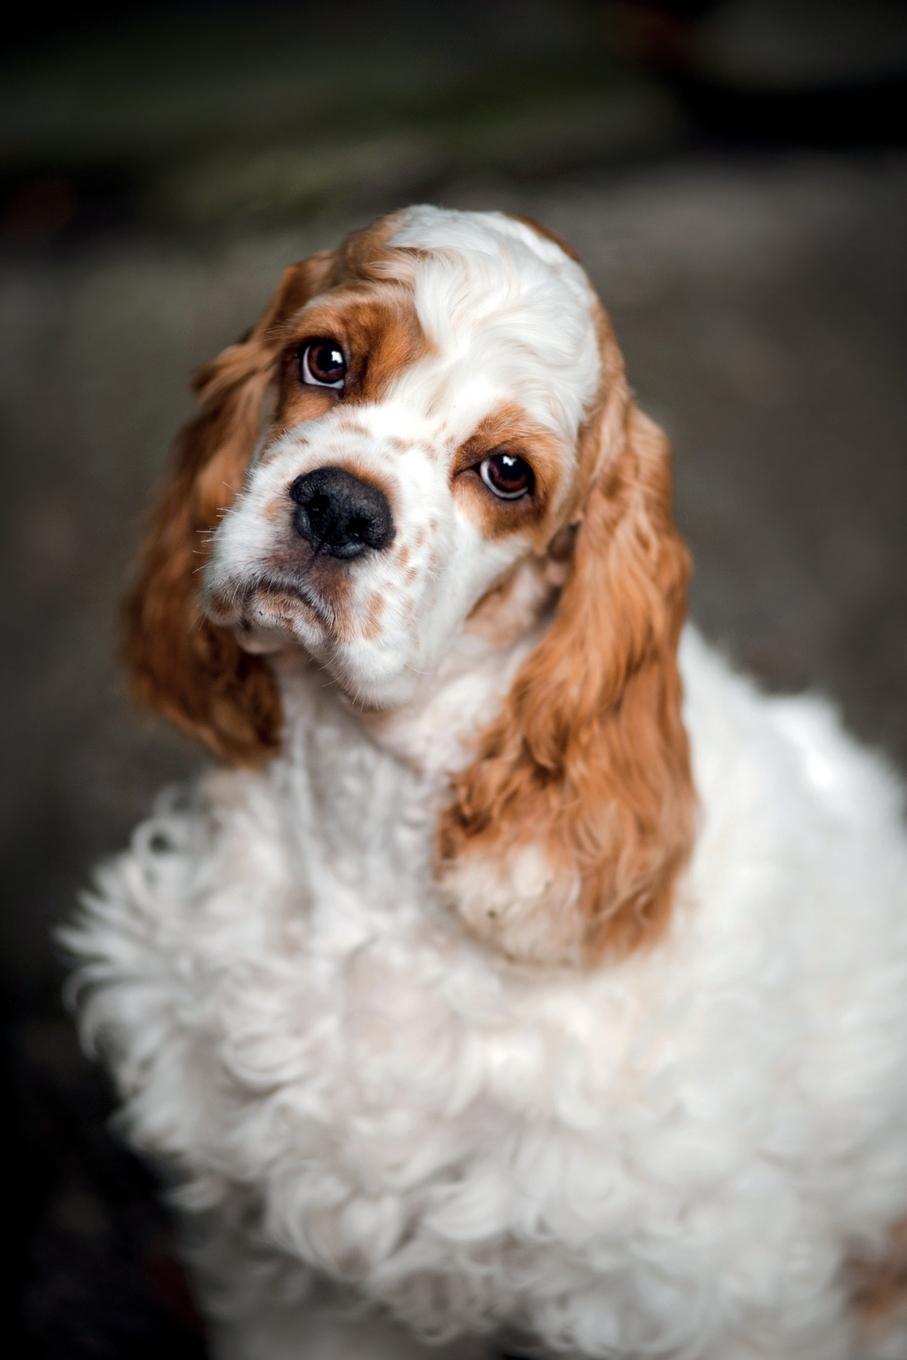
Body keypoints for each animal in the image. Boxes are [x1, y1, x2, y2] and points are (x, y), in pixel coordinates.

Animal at [67, 204, 907, 1360]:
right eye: (324, 360)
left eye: (507, 471)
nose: (338, 506)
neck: (369, 843)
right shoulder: (296, 1275)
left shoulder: (686, 1289)